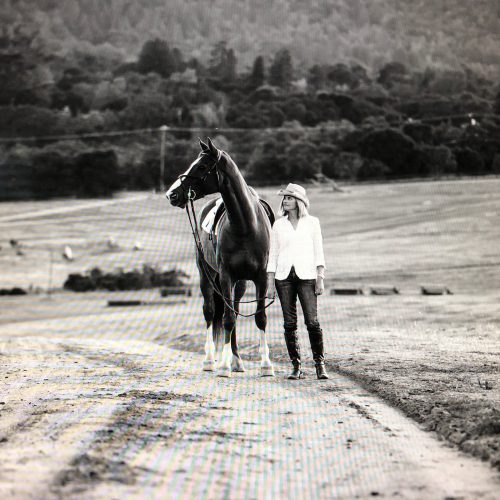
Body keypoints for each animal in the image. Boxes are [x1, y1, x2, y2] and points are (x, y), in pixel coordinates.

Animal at [165, 139, 274, 376]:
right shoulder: (225, 276)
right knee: (211, 311)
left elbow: (259, 317)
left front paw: (265, 364)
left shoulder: (261, 277)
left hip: (240, 283)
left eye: (201, 167)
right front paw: (223, 365)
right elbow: (227, 318)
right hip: (206, 275)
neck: (245, 225)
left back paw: (237, 361)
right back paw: (210, 360)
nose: (172, 194)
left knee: (234, 310)